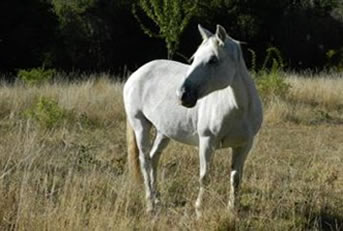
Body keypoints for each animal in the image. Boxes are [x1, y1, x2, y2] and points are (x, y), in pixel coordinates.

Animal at [124, 24, 264, 216]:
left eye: (213, 60)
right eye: (194, 58)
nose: (182, 95)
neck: (239, 108)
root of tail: (136, 74)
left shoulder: (244, 145)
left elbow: (236, 178)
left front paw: (232, 210)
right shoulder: (207, 142)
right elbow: (204, 177)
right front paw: (199, 210)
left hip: (164, 131)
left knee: (153, 158)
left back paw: (157, 199)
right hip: (140, 125)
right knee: (145, 161)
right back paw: (150, 204)